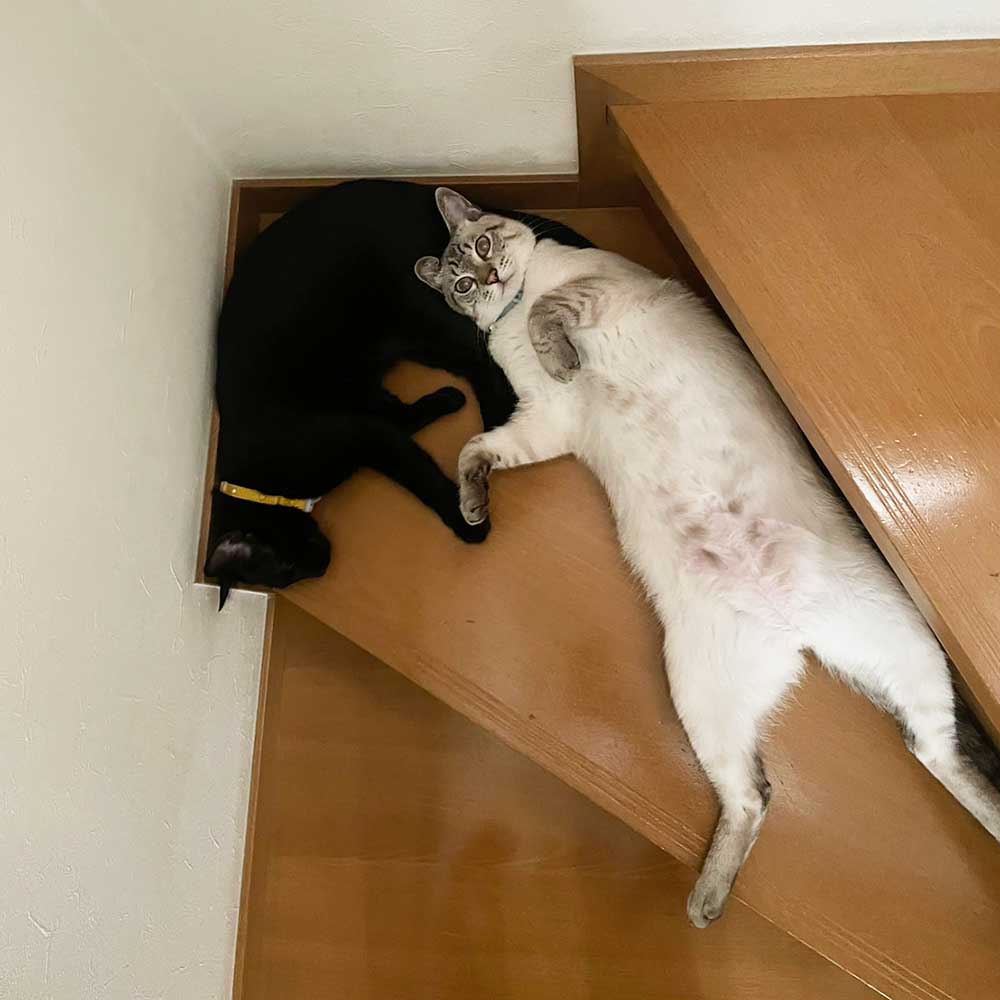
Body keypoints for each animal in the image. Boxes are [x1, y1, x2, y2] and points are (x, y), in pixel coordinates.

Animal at [205, 179, 591, 608]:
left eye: (285, 569)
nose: (324, 562)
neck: (256, 476)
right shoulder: (365, 401)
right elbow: (405, 415)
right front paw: (447, 400)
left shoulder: (367, 435)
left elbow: (422, 475)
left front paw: (467, 524)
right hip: (407, 337)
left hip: (424, 316)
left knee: (482, 352)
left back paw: (498, 412)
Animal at [416, 187, 1000, 927]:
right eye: (462, 281)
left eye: (486, 247)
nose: (489, 278)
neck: (512, 311)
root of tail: (796, 631)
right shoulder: (544, 421)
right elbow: (476, 450)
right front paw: (473, 509)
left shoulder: (591, 295)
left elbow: (551, 316)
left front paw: (560, 356)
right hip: (704, 695)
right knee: (774, 789)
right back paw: (705, 904)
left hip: (893, 645)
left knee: (938, 747)